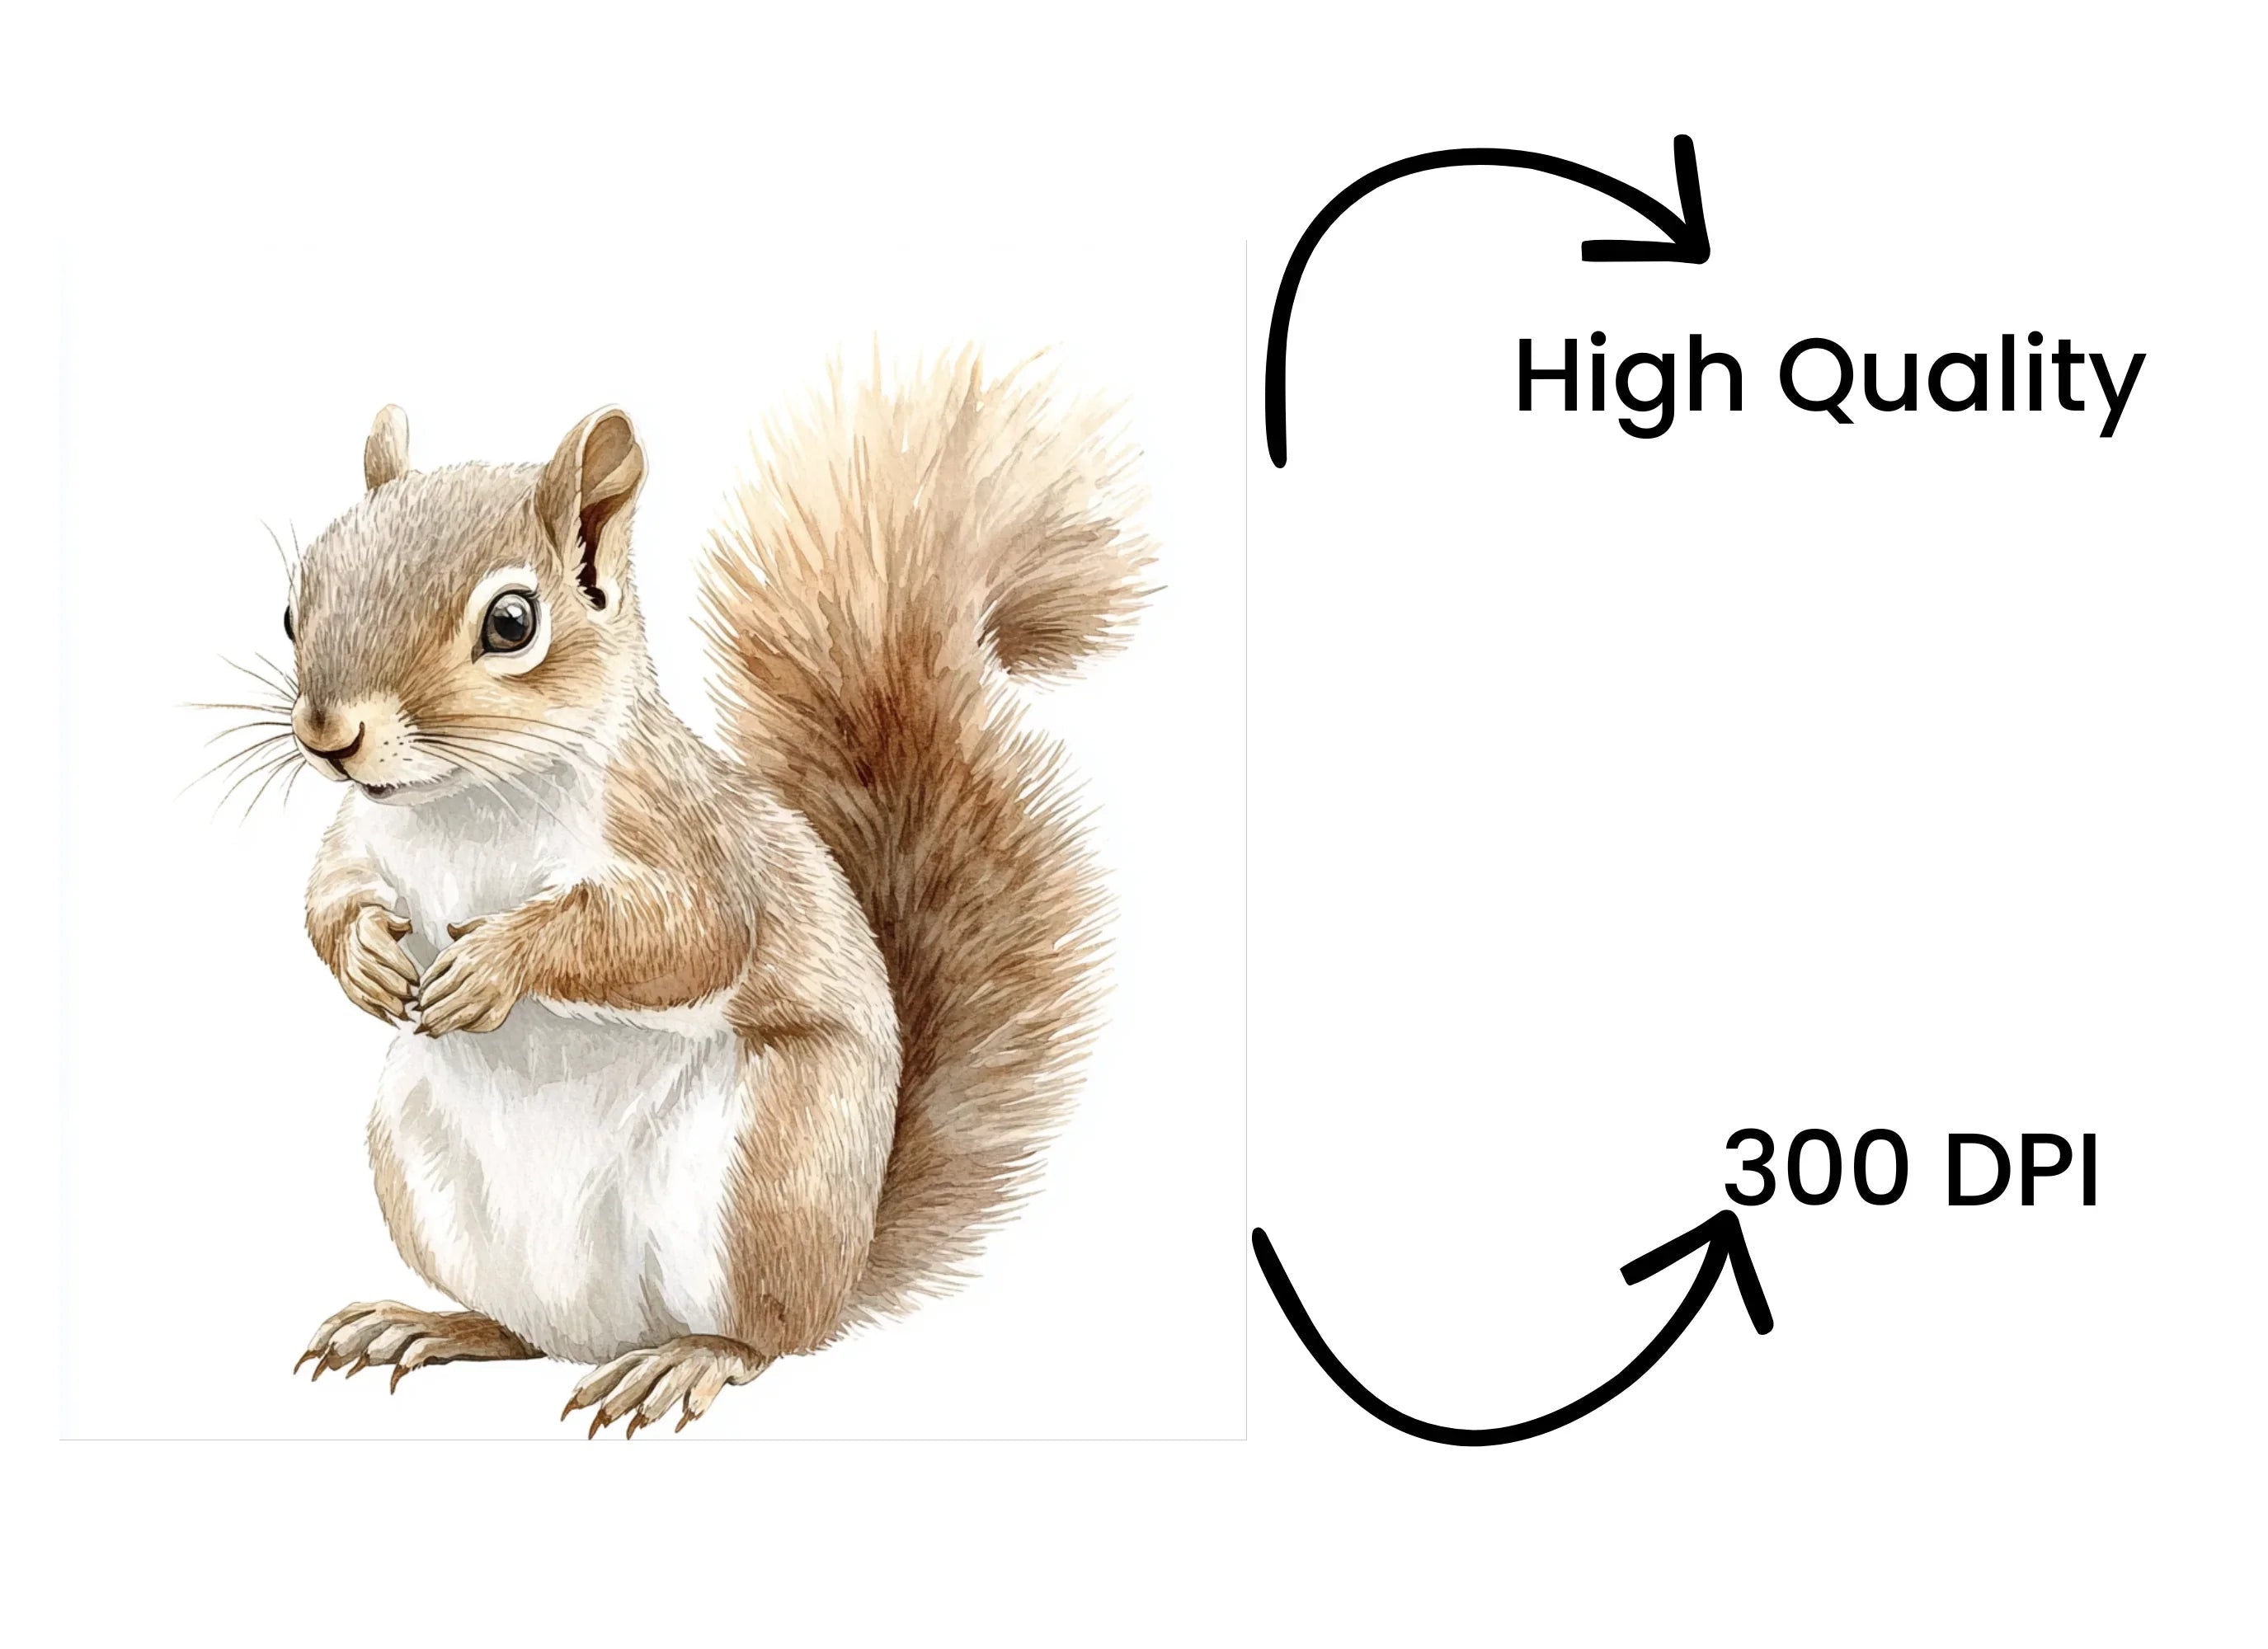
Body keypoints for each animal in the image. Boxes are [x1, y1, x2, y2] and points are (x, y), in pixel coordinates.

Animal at [275, 354, 1149, 1435]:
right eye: (293, 603)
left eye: (511, 622)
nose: (327, 733)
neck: (464, 801)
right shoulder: (358, 835)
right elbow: (327, 897)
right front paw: (365, 956)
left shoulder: (687, 838)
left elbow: (684, 938)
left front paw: (496, 960)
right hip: (419, 1167)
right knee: (525, 1331)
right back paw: (430, 1323)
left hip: (767, 1176)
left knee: (764, 1337)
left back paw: (685, 1357)